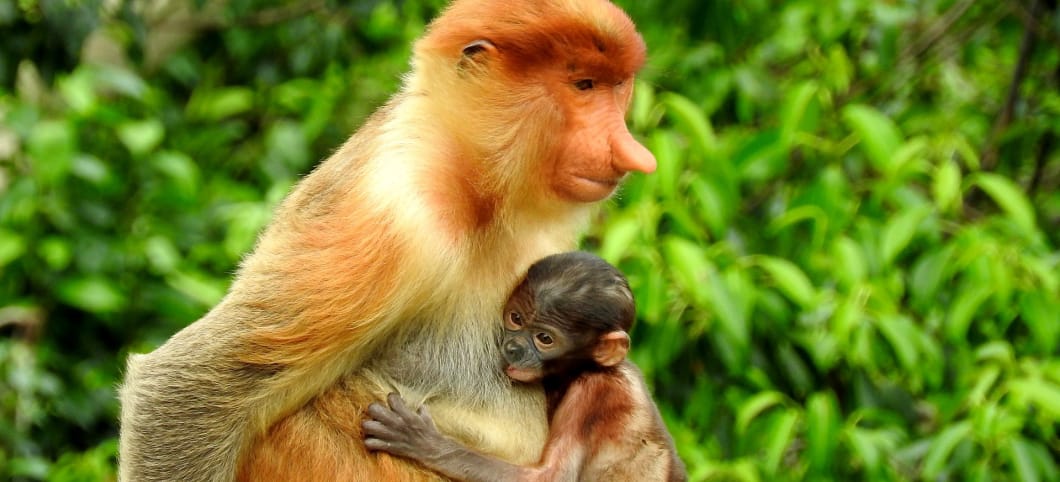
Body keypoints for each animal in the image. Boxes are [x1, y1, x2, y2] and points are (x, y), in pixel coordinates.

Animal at [118, 1, 652, 480]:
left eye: (616, 87)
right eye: (583, 85)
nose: (631, 153)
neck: (475, 186)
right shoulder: (392, 217)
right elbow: (182, 391)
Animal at [360, 253, 682, 482]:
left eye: (544, 339)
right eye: (515, 318)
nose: (513, 348)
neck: (587, 368)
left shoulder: (593, 392)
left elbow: (550, 478)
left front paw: (422, 442)